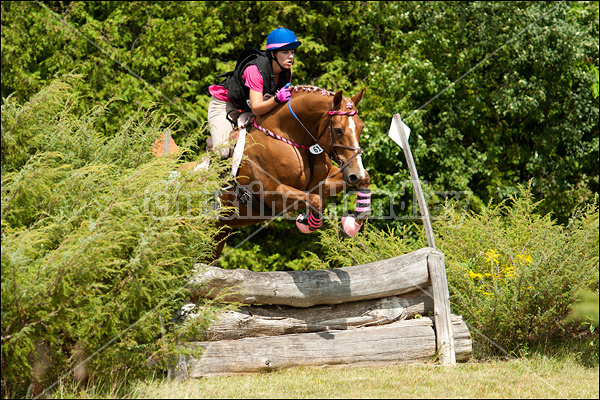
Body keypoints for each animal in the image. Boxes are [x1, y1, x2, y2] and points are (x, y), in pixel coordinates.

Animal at [210, 85, 370, 262]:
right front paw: (306, 223)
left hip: (218, 235)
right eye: (338, 130)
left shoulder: (323, 183)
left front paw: (352, 224)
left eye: (361, 127)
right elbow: (316, 200)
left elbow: (364, 178)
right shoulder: (274, 195)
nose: (355, 174)